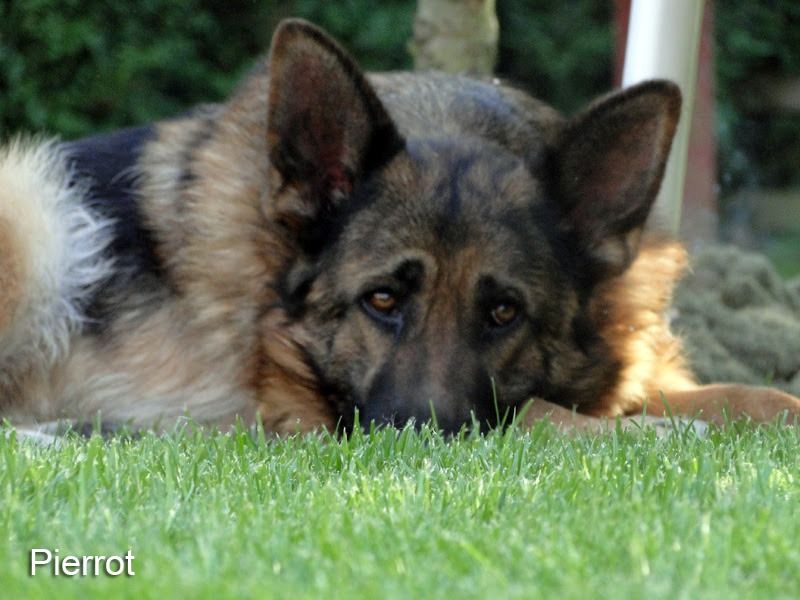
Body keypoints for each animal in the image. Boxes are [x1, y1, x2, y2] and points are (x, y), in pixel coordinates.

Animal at [1, 18, 799, 436]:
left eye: (504, 312)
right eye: (381, 300)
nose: (421, 442)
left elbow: (748, 394)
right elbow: (538, 412)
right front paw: (649, 433)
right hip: (36, 215)